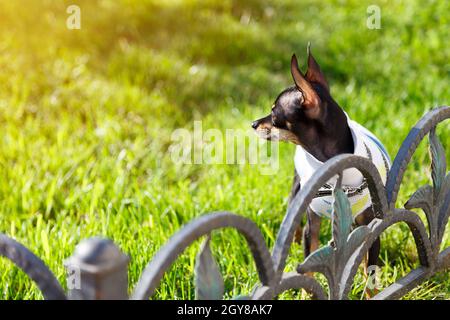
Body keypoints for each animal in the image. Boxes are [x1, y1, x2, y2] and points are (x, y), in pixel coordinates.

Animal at [251, 46, 392, 282]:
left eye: (273, 113)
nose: (253, 124)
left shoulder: (371, 227)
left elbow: (369, 271)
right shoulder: (313, 224)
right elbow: (308, 264)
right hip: (297, 190)